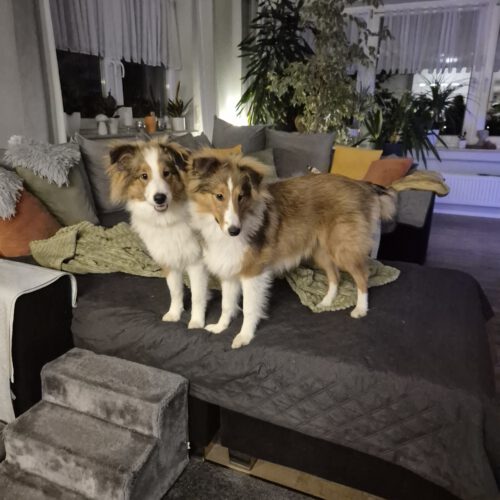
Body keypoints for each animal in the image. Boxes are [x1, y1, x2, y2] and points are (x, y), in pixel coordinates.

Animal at [107, 139, 208, 329]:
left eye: (166, 173)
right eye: (144, 176)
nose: (159, 198)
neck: (166, 221)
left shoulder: (196, 262)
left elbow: (198, 296)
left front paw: (197, 322)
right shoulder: (168, 261)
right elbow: (175, 291)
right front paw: (174, 314)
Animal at [185, 148, 397, 348]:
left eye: (241, 197)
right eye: (219, 196)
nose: (234, 231)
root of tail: (361, 184)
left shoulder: (253, 273)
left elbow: (249, 308)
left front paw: (244, 336)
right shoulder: (230, 270)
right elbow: (227, 305)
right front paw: (220, 327)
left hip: (342, 248)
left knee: (362, 276)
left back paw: (360, 309)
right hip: (321, 251)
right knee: (335, 276)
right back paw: (327, 302)